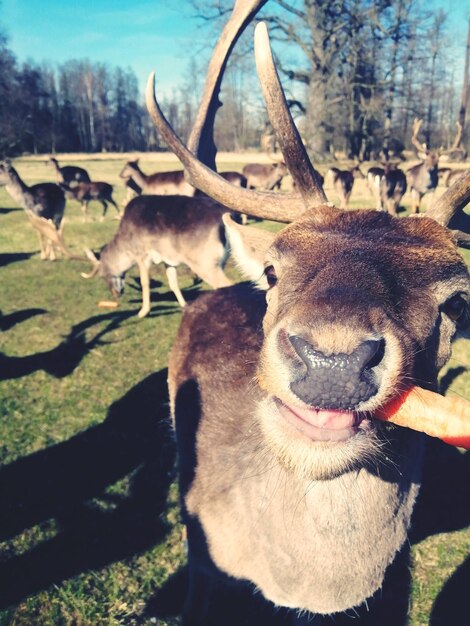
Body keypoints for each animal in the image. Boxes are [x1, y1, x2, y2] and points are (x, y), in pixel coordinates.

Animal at [83, 195, 235, 316]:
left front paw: (143, 312)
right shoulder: (169, 259)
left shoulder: (142, 254)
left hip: (204, 263)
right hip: (219, 262)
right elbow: (173, 283)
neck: (126, 247)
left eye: (102, 275)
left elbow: (145, 282)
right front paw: (185, 306)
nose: (115, 294)